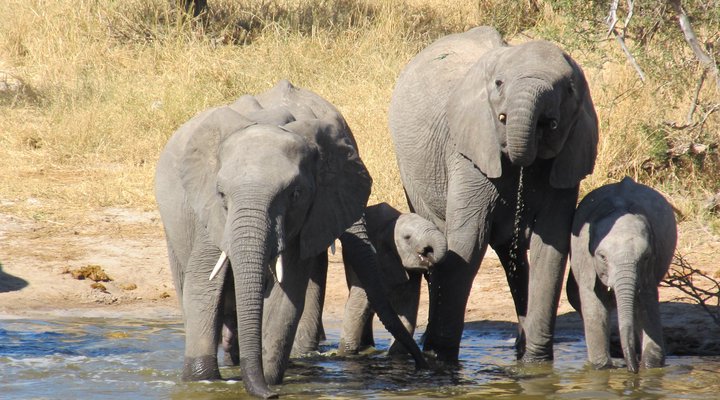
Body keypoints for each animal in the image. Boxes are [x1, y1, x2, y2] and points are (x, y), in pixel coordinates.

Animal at [155, 80, 427, 398]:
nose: (422, 365)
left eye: (295, 194)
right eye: (221, 194)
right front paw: (201, 382)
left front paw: (269, 381)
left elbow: (288, 295)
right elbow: (202, 283)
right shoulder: (210, 213)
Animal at [338, 202, 447, 356]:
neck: (390, 225)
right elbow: (358, 305)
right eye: (407, 237)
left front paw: (395, 355)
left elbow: (408, 307)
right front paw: (345, 354)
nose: (429, 253)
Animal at [388, 26, 598, 362]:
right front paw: (440, 360)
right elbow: (467, 244)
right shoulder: (468, 155)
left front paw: (537, 362)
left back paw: (522, 350)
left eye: (568, 89)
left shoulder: (567, 162)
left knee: (515, 259)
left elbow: (550, 248)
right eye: (499, 84)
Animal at [566, 177, 677, 372]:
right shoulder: (584, 258)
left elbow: (647, 302)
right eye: (602, 257)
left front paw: (650, 366)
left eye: (645, 256)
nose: (632, 369)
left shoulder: (651, 264)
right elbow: (593, 302)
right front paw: (602, 367)